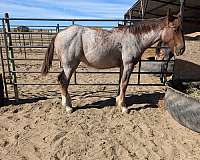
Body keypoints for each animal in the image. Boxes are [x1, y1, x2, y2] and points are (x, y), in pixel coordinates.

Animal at [41, 11, 185, 113]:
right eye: (175, 29)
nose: (182, 49)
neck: (134, 38)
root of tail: (59, 34)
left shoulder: (122, 66)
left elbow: (120, 83)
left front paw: (118, 102)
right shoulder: (128, 65)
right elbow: (124, 84)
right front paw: (124, 107)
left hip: (70, 66)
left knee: (62, 80)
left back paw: (68, 103)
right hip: (70, 66)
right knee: (63, 81)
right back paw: (68, 107)